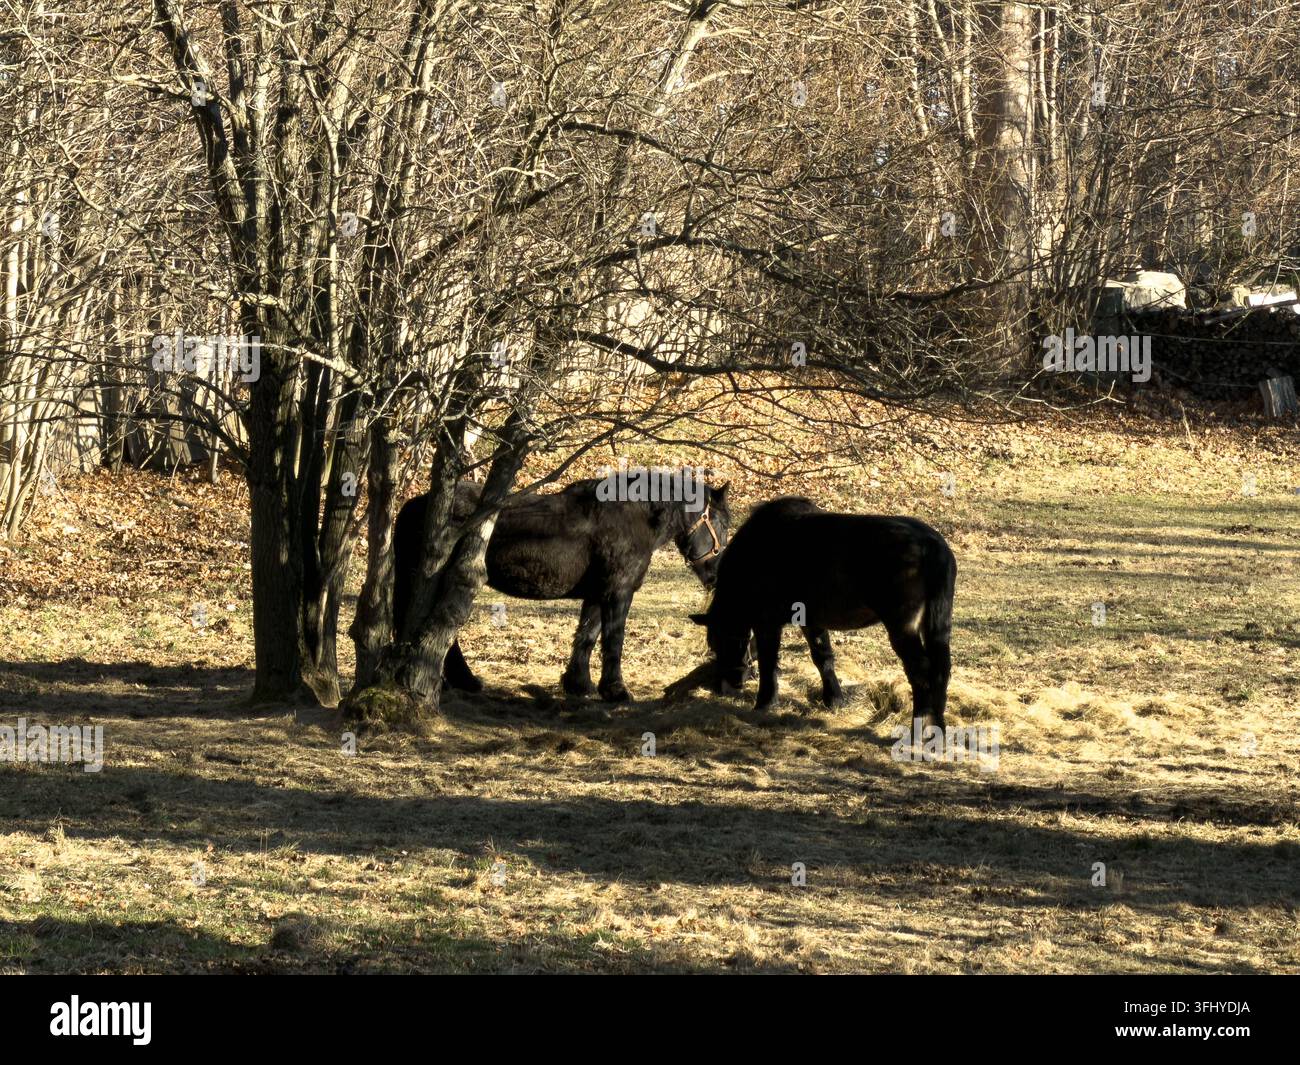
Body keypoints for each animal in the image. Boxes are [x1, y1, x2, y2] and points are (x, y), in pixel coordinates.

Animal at [394, 475, 732, 701]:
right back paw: (459, 681)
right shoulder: (619, 593)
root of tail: (415, 505)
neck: (634, 518)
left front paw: (579, 684)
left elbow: (587, 636)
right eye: (721, 523)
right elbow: (614, 639)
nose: (717, 574)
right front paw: (616, 690)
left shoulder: (598, 594)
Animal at [688, 496, 955, 729]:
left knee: (921, 672)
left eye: (721, 642)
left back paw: (920, 724)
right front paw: (833, 699)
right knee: (941, 672)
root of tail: (931, 545)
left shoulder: (768, 624)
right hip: (937, 629)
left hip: (903, 629)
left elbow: (769, 662)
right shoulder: (812, 621)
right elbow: (823, 658)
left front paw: (765, 702)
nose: (726, 686)